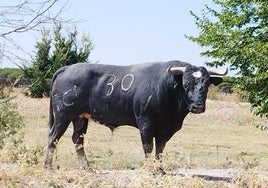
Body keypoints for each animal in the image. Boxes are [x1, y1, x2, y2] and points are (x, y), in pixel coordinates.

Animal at [43, 61, 226, 170]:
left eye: (206, 85)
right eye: (186, 85)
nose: (198, 106)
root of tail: (68, 68)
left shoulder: (165, 129)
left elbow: (160, 149)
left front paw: (160, 170)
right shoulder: (145, 123)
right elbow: (148, 147)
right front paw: (148, 169)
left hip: (80, 117)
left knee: (77, 139)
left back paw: (87, 167)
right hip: (63, 115)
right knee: (53, 137)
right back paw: (48, 166)